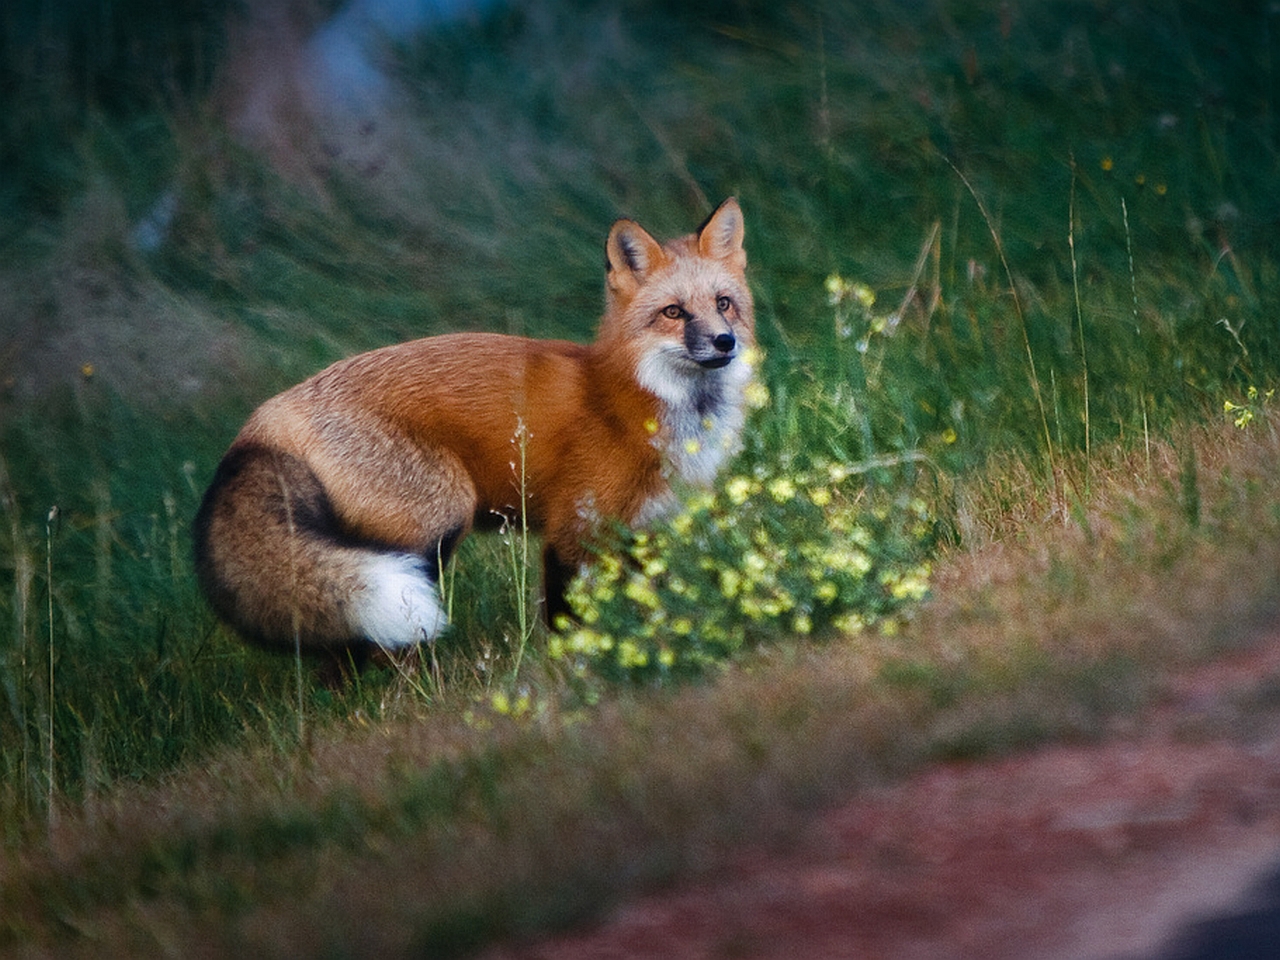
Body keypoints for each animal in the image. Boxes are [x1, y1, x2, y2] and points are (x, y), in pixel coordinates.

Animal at [194, 195, 752, 660]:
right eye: (674, 312)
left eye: (723, 303)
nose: (724, 342)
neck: (637, 401)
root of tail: (267, 414)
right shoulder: (573, 528)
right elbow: (565, 618)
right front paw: (571, 669)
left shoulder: (644, 530)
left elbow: (649, 606)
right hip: (434, 523)